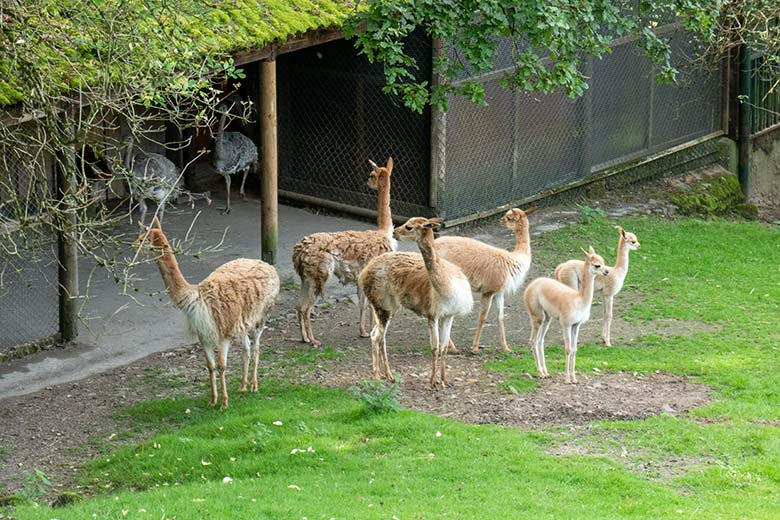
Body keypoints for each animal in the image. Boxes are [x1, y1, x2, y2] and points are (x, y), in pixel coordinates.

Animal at [136, 217, 278, 408]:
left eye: (143, 238)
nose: (133, 245)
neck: (195, 298)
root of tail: (267, 264)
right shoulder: (203, 335)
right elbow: (210, 366)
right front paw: (213, 400)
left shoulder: (222, 333)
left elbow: (222, 366)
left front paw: (224, 403)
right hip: (241, 323)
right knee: (246, 348)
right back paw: (242, 386)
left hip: (261, 317)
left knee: (255, 348)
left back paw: (254, 386)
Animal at [358, 216, 472, 390]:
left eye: (409, 227)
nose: (394, 232)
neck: (446, 286)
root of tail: (365, 271)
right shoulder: (432, 315)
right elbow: (435, 347)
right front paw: (433, 382)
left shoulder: (448, 315)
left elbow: (444, 347)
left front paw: (444, 381)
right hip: (380, 304)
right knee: (377, 336)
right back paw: (379, 376)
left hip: (389, 307)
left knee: (378, 335)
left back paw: (387, 375)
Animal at [524, 246, 608, 384]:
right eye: (597, 265)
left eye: (603, 261)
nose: (606, 272)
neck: (579, 300)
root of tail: (530, 286)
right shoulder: (566, 324)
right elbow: (568, 349)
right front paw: (567, 379)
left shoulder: (576, 325)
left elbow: (574, 349)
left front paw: (574, 378)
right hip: (537, 316)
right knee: (532, 341)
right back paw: (540, 373)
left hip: (547, 318)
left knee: (540, 340)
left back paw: (545, 372)